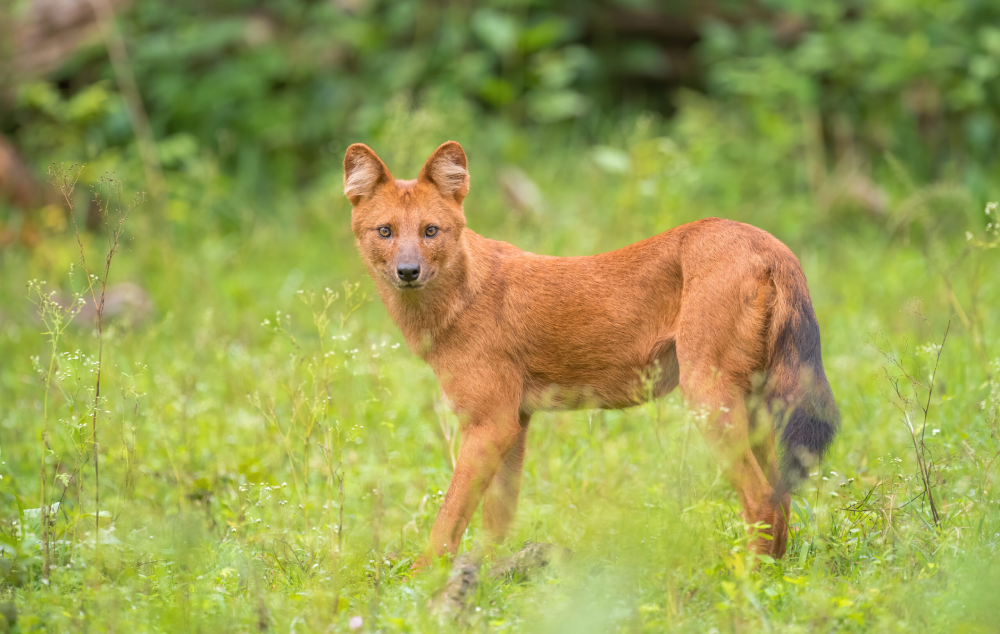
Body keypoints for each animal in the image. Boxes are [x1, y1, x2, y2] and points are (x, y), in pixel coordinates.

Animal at [342, 142, 836, 564]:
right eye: (385, 232)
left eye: (431, 231)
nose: (408, 271)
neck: (457, 299)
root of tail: (769, 243)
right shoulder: (516, 421)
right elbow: (497, 519)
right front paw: (486, 578)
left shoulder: (489, 423)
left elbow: (448, 519)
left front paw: (424, 582)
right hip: (758, 405)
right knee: (782, 497)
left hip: (708, 395)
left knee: (761, 500)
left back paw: (747, 584)